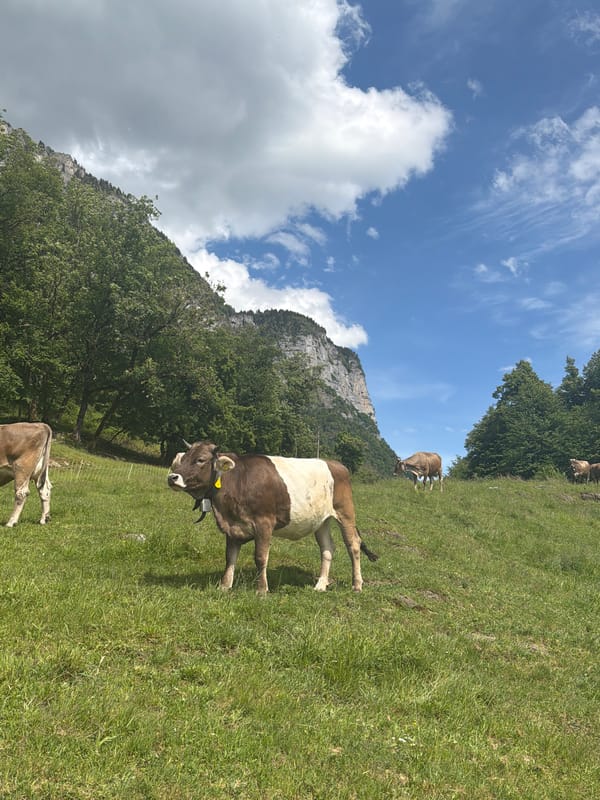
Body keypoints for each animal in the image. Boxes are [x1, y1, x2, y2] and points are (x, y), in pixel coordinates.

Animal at [167, 440, 378, 594]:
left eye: (200, 460)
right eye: (183, 459)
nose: (172, 477)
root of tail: (335, 464)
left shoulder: (264, 523)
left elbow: (260, 557)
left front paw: (262, 590)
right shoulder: (233, 527)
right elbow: (230, 557)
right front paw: (225, 586)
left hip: (345, 512)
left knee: (353, 545)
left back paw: (357, 585)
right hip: (321, 520)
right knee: (327, 548)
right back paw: (320, 585)